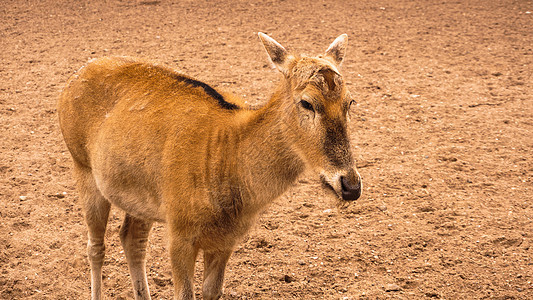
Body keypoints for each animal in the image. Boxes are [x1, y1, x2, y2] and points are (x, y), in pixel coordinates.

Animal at [59, 32, 362, 300]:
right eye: (307, 103)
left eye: (350, 102)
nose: (350, 185)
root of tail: (72, 79)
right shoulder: (179, 230)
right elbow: (184, 294)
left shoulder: (227, 239)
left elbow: (211, 291)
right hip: (82, 167)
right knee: (96, 247)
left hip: (140, 197)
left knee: (132, 240)